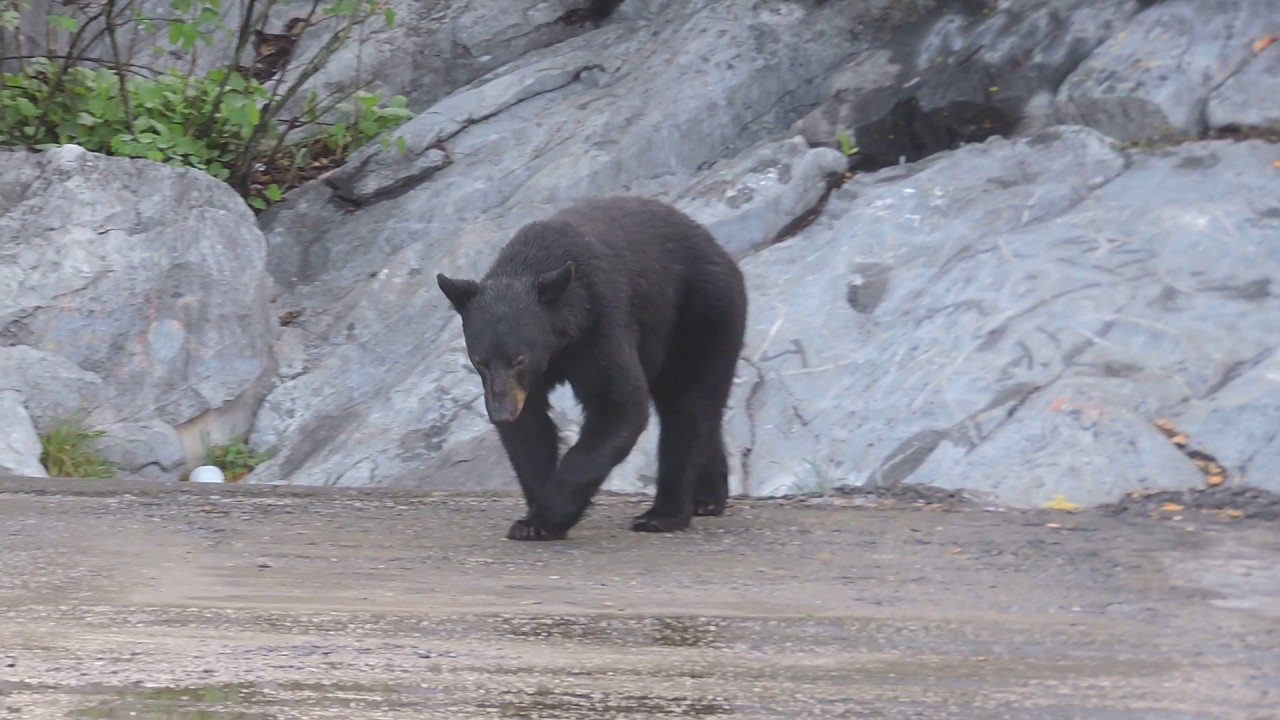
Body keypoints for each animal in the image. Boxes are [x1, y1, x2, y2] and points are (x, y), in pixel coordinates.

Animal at [436, 196, 748, 541]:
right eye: (480, 361)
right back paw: (707, 497)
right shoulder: (522, 383)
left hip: (701, 315)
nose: (502, 413)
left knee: (689, 405)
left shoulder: (599, 324)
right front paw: (532, 516)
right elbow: (529, 429)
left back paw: (663, 514)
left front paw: (548, 516)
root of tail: (721, 251)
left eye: (520, 359)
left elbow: (617, 403)